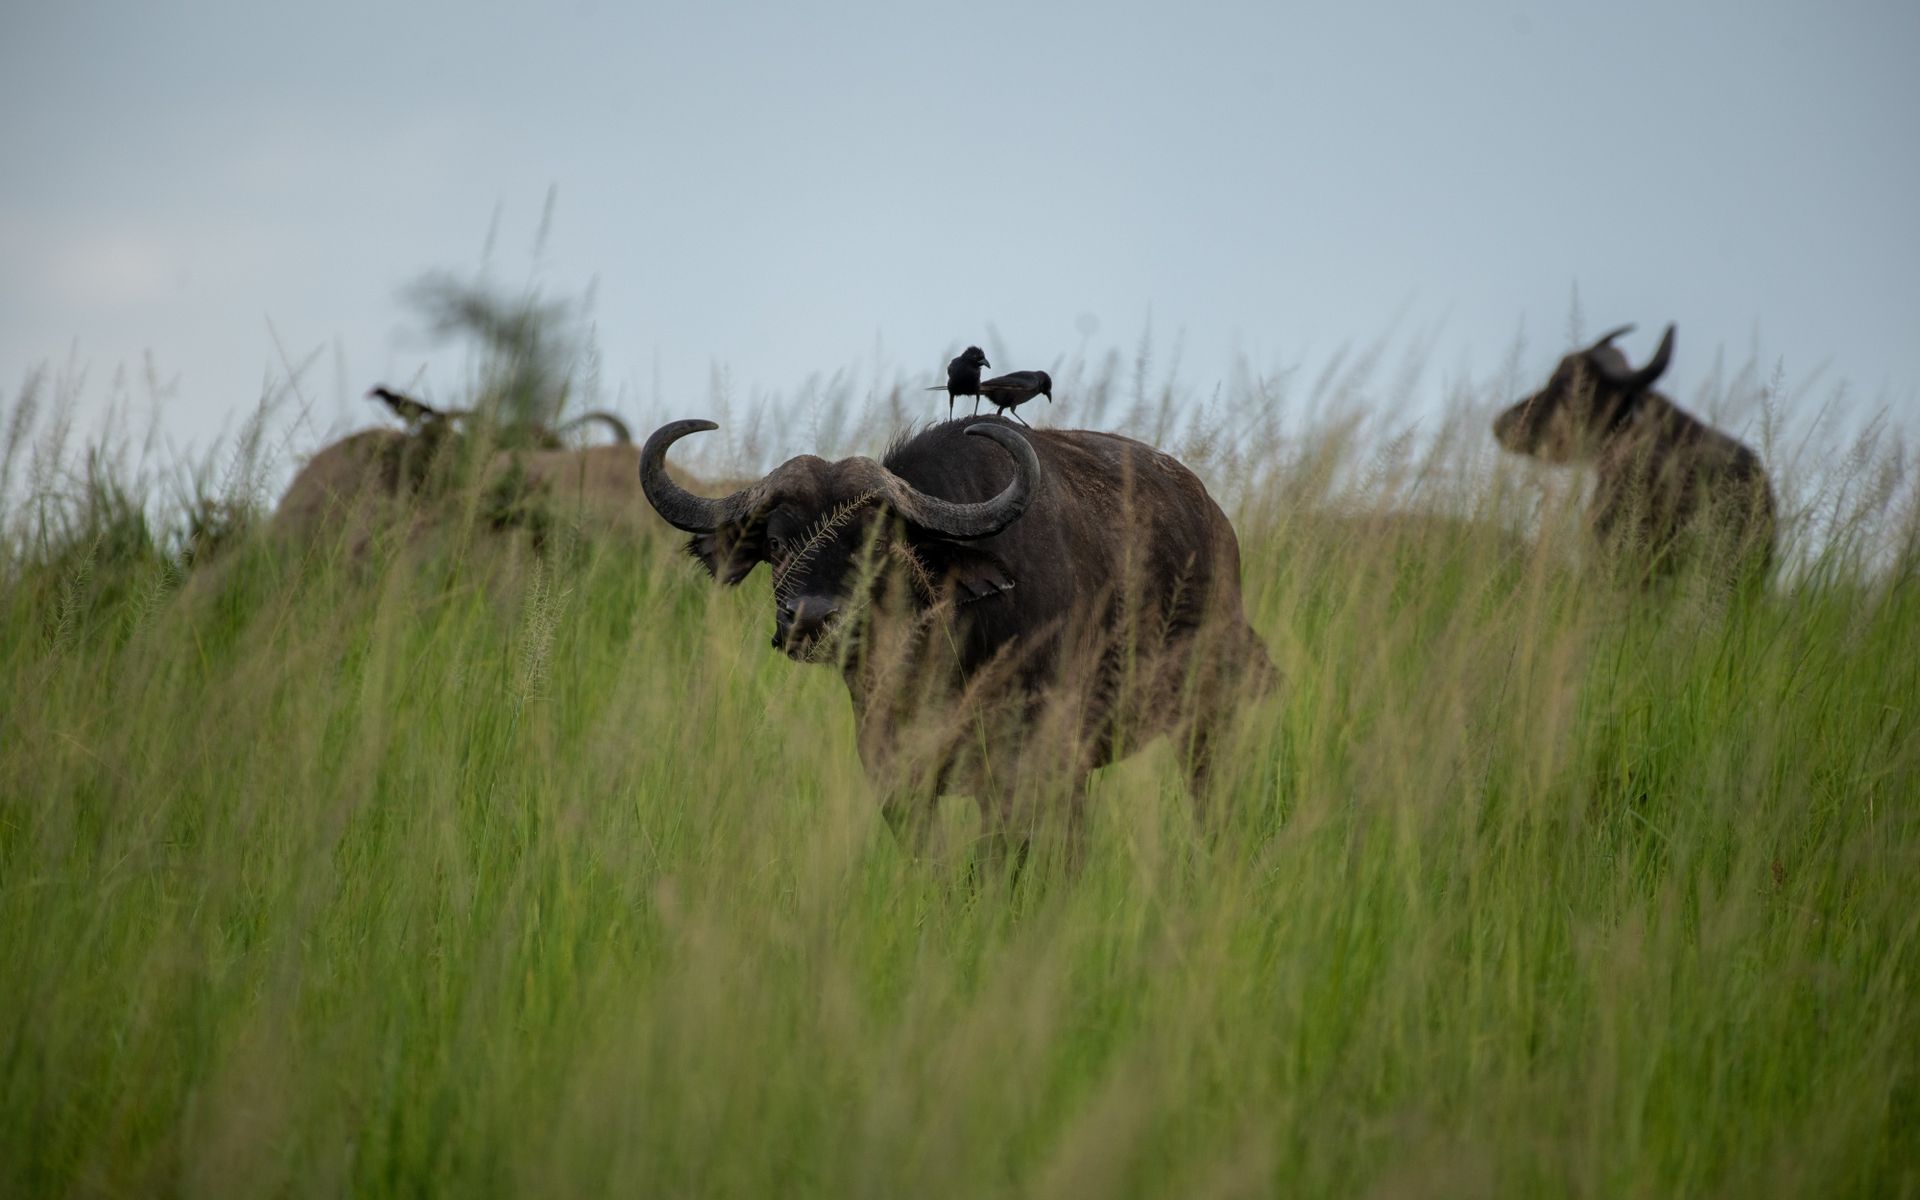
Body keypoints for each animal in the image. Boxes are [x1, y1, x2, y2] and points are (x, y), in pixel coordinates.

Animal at [640, 415, 1276, 852]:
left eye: (878, 544)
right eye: (775, 543)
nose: (810, 619)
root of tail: (1217, 525)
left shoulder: (1028, 770)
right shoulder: (897, 779)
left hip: (1209, 721)